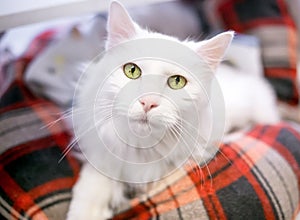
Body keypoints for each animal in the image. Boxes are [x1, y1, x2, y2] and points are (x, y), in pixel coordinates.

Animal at [67, 1, 280, 218]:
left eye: (177, 82)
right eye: (132, 71)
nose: (148, 102)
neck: (142, 147)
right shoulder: (102, 153)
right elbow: (92, 184)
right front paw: (85, 211)